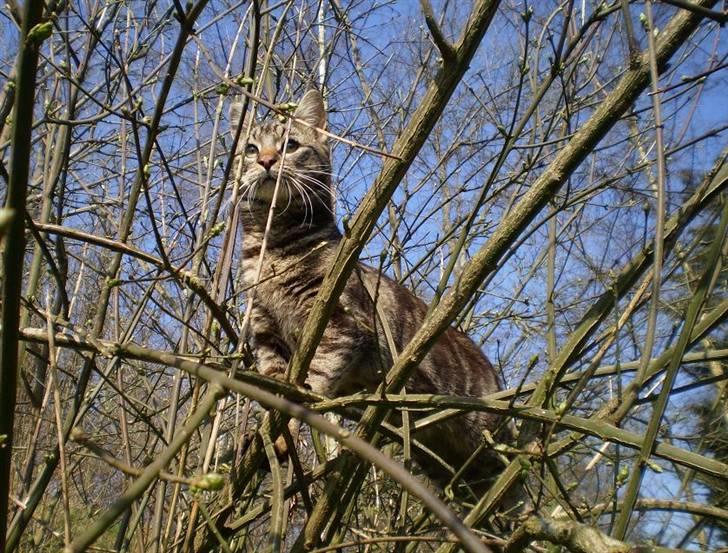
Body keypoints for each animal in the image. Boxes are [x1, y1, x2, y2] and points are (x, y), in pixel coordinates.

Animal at [233, 90, 512, 496]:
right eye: (251, 149)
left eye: (290, 145)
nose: (266, 160)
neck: (273, 246)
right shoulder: (266, 334)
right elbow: (274, 387)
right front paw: (269, 435)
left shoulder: (341, 324)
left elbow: (306, 385)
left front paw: (286, 429)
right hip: (448, 469)